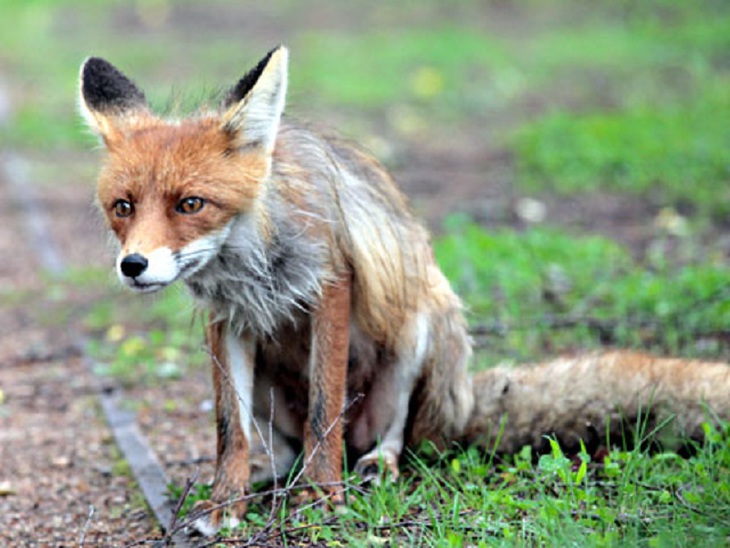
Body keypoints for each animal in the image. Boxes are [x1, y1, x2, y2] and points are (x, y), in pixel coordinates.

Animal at [77, 47, 724, 536]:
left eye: (191, 204)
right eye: (123, 207)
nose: (134, 265)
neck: (252, 263)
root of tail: (459, 403)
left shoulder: (330, 288)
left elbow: (324, 411)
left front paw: (323, 501)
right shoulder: (228, 324)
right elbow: (229, 430)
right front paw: (222, 508)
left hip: (417, 333)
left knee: (394, 436)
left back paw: (371, 468)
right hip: (268, 385)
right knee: (282, 445)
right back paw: (275, 479)